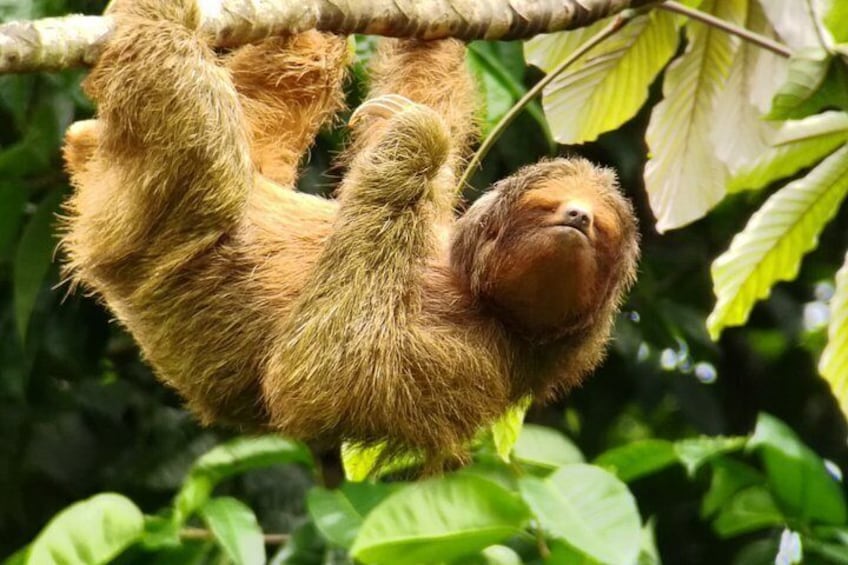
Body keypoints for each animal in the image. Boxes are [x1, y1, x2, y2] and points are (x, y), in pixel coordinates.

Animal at [60, 0, 639, 462]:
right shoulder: (441, 230)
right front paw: (426, 66)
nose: (579, 218)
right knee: (293, 79)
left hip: (142, 221)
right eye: (549, 205)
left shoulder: (479, 365)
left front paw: (419, 134)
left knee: (203, 157)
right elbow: (424, 110)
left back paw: (159, 18)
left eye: (604, 231)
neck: (469, 287)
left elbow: (323, 374)